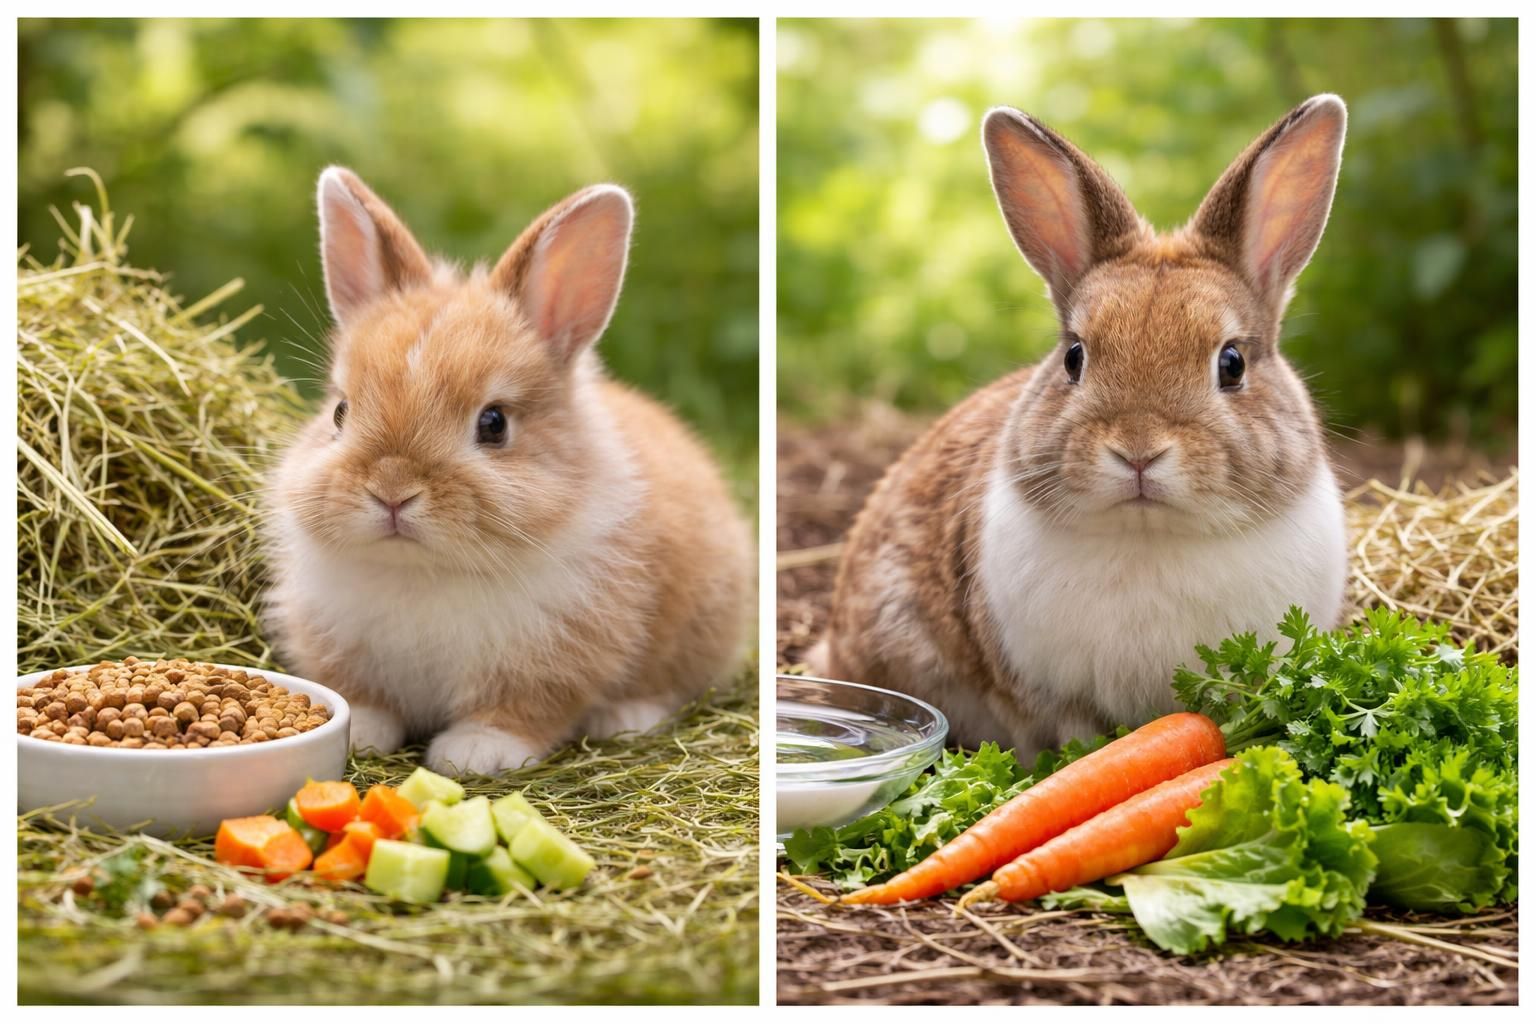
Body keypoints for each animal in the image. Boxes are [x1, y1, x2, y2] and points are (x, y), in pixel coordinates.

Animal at [264, 167, 753, 776]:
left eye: (493, 424)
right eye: (339, 412)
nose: (393, 491)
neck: (425, 570)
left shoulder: (555, 658)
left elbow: (523, 709)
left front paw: (475, 753)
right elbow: (362, 696)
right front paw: (365, 732)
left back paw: (627, 718)